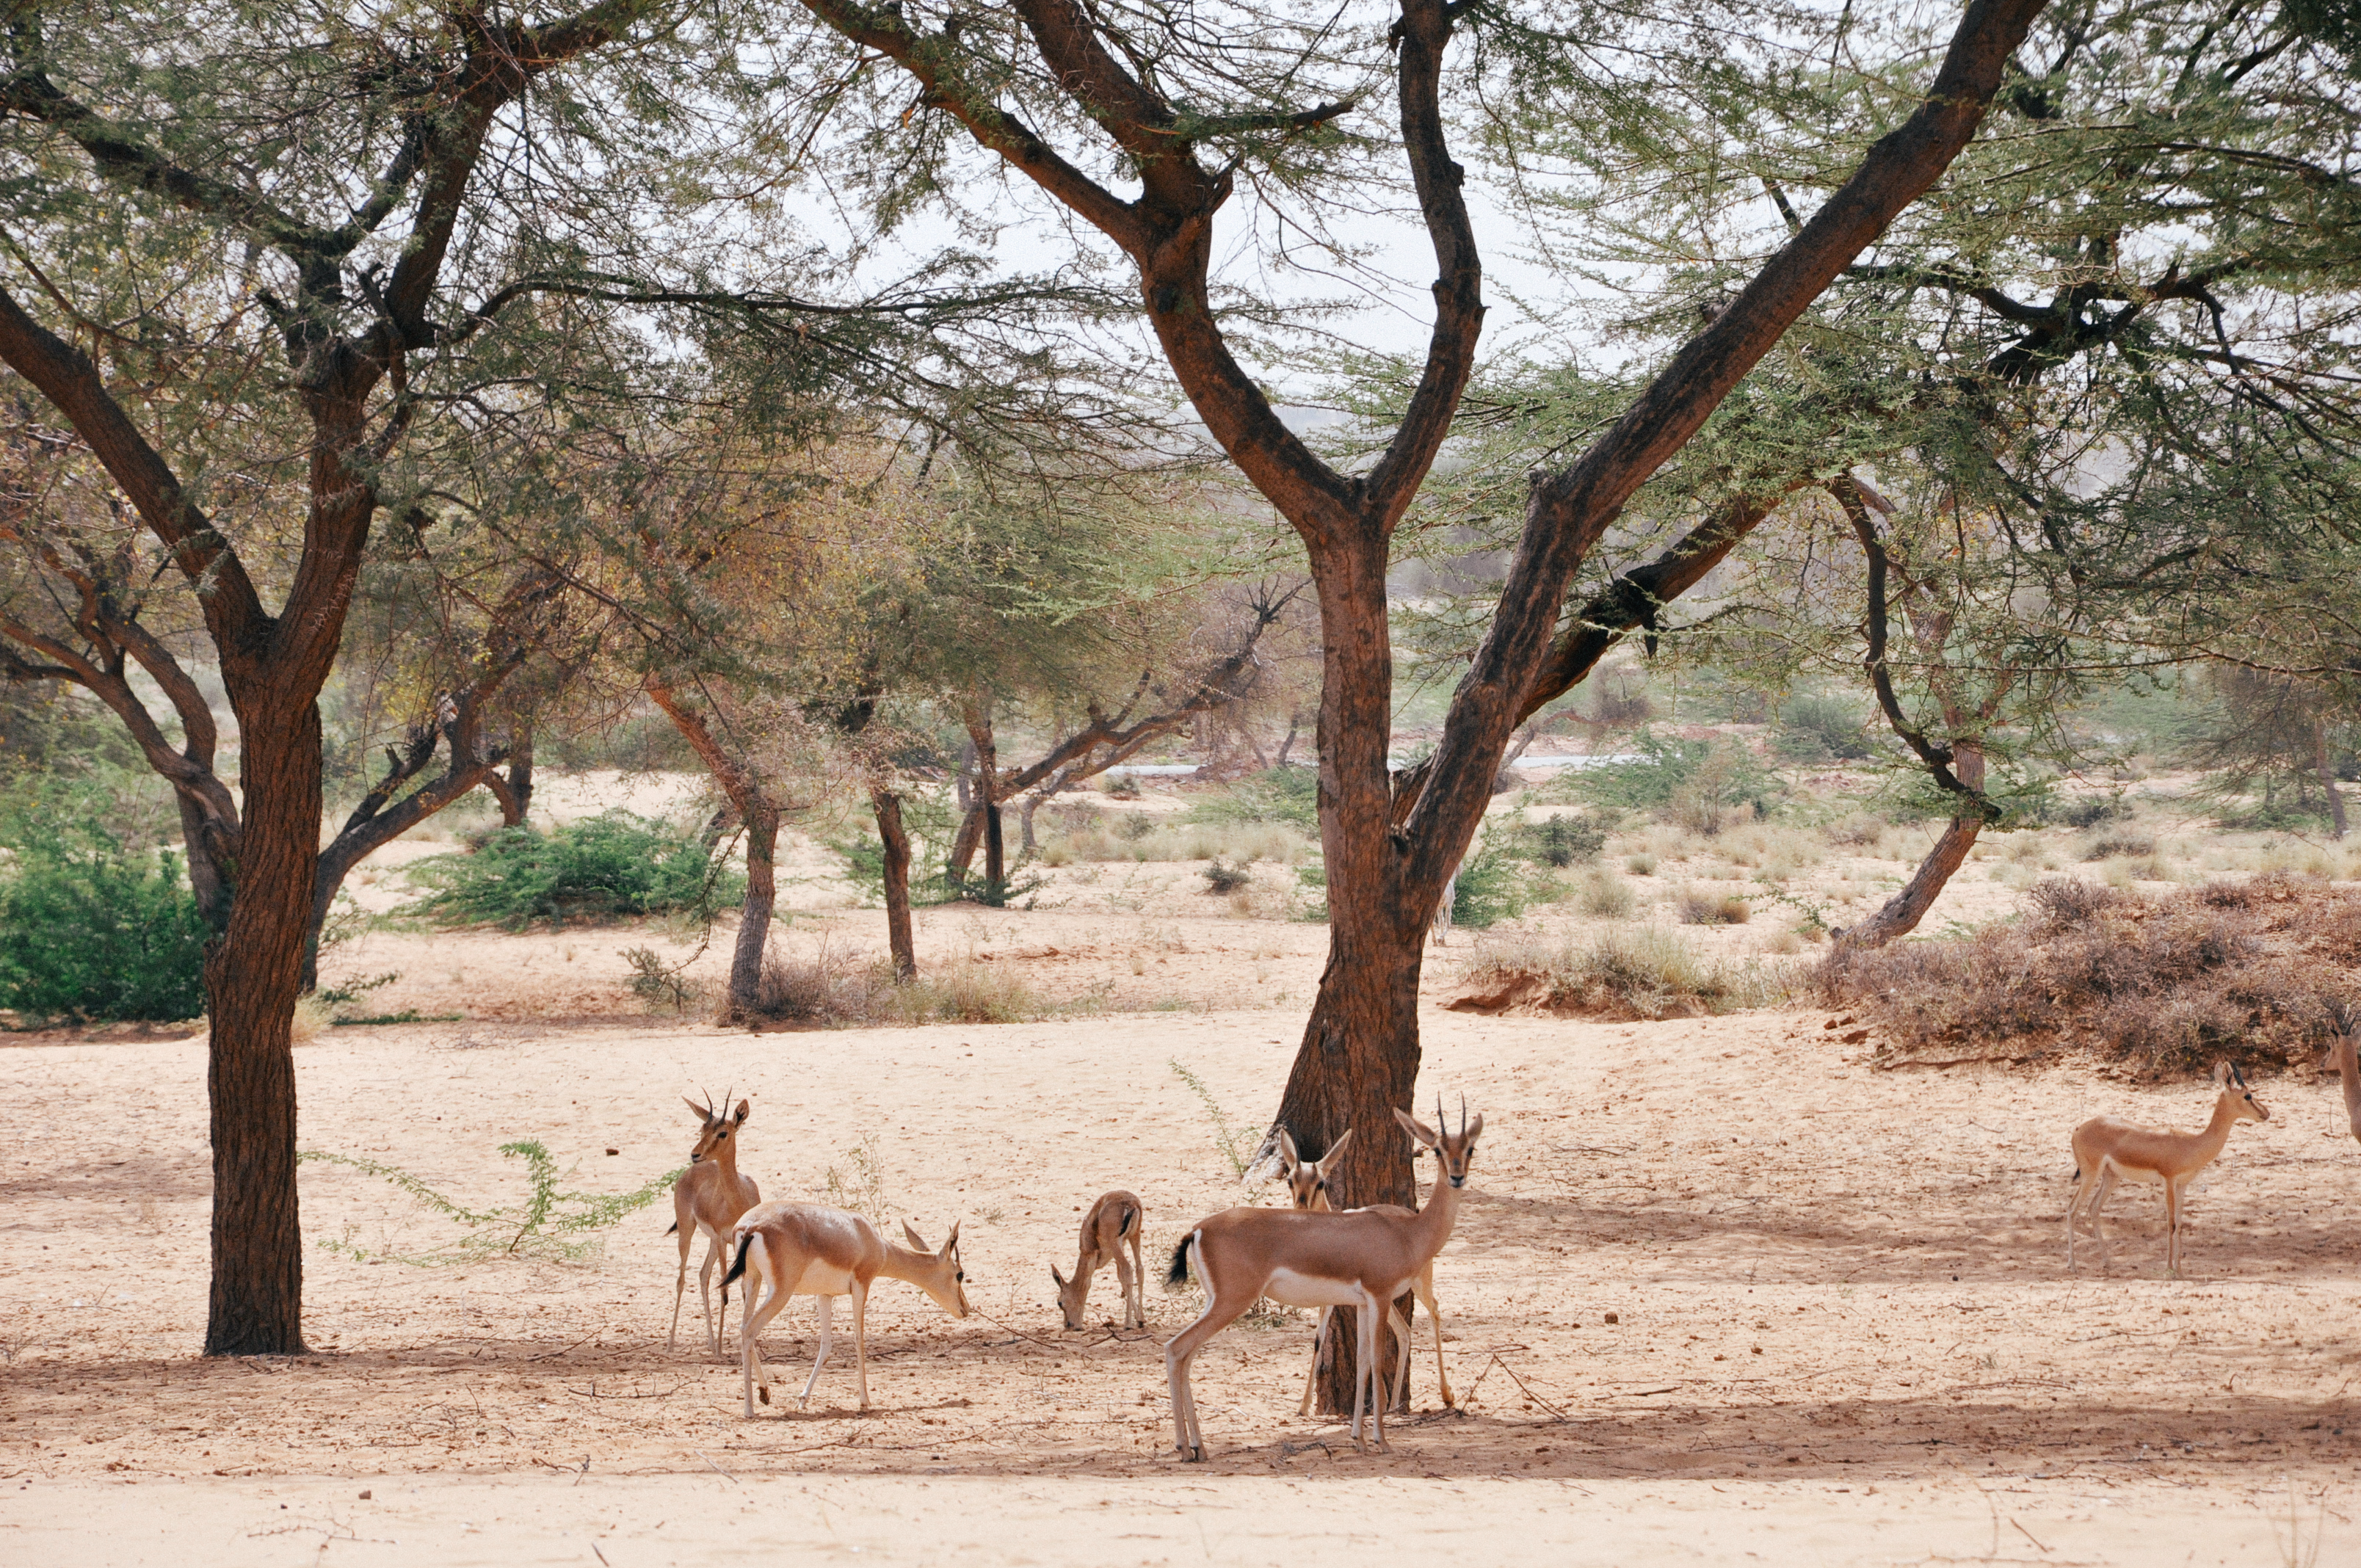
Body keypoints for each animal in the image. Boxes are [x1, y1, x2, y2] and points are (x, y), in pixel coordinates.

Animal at [666, 1094, 760, 1356]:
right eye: (702, 1129)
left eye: (723, 1132)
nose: (695, 1154)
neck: (737, 1201)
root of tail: (690, 1173)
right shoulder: (721, 1239)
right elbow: (725, 1290)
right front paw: (720, 1349)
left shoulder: (740, 1243)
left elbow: (744, 1289)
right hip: (689, 1232)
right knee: (682, 1280)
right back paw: (674, 1342)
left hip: (712, 1242)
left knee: (703, 1275)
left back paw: (708, 1342)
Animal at [723, 1202, 969, 1415]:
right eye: (960, 1274)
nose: (966, 1309)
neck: (871, 1241)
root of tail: (751, 1226)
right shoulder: (862, 1285)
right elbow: (859, 1340)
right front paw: (865, 1401)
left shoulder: (825, 1295)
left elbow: (826, 1345)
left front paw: (802, 1401)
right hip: (780, 1291)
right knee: (750, 1329)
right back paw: (749, 1410)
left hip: (752, 1280)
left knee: (742, 1326)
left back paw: (765, 1393)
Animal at [1052, 1189, 1146, 1330]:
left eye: (1060, 1303)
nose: (1067, 1324)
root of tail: (1130, 1203)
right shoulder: (1121, 1246)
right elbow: (1121, 1278)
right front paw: (1140, 1319)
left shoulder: (1090, 1255)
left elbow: (1087, 1283)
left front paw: (1079, 1324)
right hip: (1134, 1236)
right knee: (1139, 1269)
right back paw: (1140, 1320)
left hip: (1115, 1243)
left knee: (1128, 1269)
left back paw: (1128, 1324)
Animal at [1275, 1127, 1455, 1416]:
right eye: (1291, 1181)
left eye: (1321, 1183)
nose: (1300, 1211)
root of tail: (1411, 1216)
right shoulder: (1330, 1298)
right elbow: (1319, 1339)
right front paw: (1303, 1407)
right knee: (1404, 1331)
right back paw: (1393, 1405)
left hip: (1419, 1285)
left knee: (1435, 1311)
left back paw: (1446, 1396)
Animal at [2066, 1059, 2270, 1274]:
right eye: (2248, 1095)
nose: (2266, 1113)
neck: (2191, 1144)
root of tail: (2078, 1130)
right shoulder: (2169, 1181)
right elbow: (2170, 1223)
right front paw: (2169, 1270)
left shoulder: (2182, 1185)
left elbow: (2179, 1224)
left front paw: (2179, 1270)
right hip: (2090, 1175)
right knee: (2072, 1209)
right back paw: (2073, 1266)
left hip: (2111, 1177)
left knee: (2093, 1208)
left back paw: (2108, 1262)